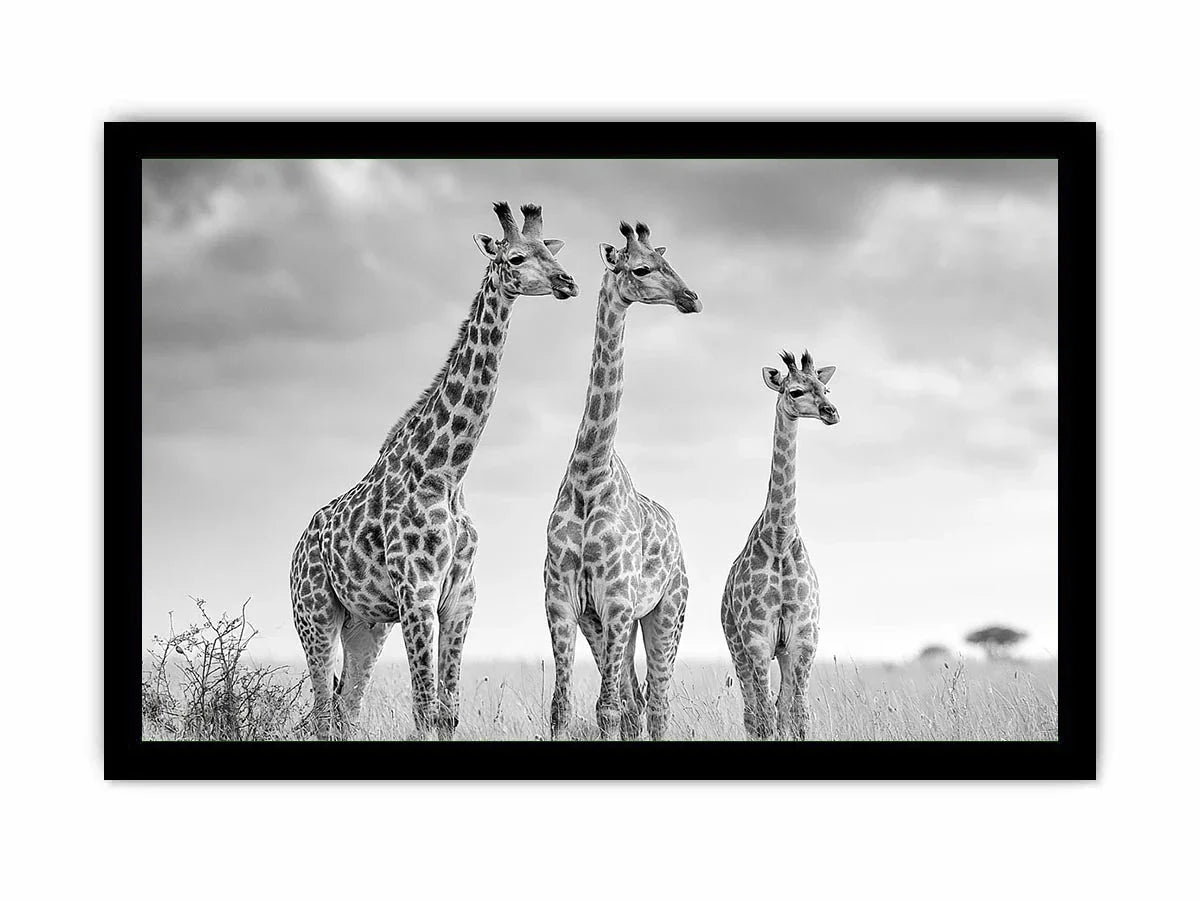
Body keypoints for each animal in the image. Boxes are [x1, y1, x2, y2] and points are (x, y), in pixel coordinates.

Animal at [290, 202, 578, 740]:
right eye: (514, 257)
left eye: (550, 251)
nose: (567, 281)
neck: (447, 471)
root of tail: (296, 551)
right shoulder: (417, 596)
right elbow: (425, 708)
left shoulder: (459, 599)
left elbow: (448, 711)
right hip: (315, 615)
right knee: (320, 712)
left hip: (365, 625)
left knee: (346, 709)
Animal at [544, 221, 701, 741]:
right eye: (642, 268)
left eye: (667, 261)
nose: (691, 298)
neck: (589, 477)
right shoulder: (565, 603)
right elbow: (564, 708)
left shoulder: (615, 601)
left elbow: (607, 709)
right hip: (613, 624)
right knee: (637, 702)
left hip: (666, 613)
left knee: (657, 703)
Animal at [721, 349, 839, 740]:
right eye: (795, 392)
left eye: (825, 388)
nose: (831, 412)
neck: (781, 538)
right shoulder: (757, 638)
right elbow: (766, 718)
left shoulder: (803, 637)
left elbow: (797, 715)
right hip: (737, 645)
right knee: (753, 714)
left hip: (782, 652)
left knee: (779, 707)